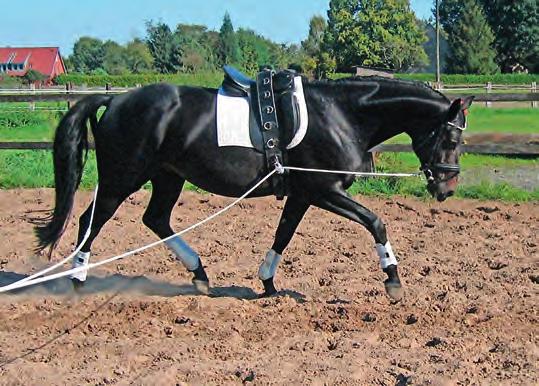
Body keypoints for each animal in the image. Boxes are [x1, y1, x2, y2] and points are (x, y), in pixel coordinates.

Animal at [34, 73, 472, 302]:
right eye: (451, 138)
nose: (447, 187)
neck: (341, 114)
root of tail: (117, 100)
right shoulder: (325, 191)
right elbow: (376, 222)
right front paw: (393, 280)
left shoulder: (302, 194)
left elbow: (284, 234)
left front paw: (268, 282)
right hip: (122, 178)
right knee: (91, 220)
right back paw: (77, 278)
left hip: (168, 176)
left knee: (156, 219)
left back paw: (200, 274)